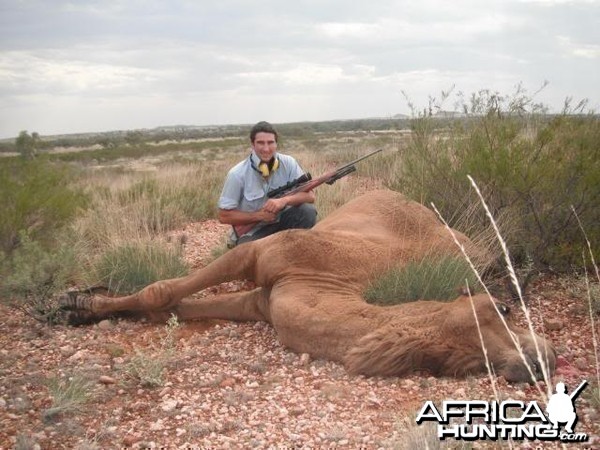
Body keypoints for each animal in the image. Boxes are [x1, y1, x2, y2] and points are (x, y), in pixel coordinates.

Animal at [63, 190, 556, 384]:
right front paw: (79, 303)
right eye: (503, 310)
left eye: (472, 367)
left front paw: (83, 304)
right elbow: (163, 293)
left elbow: (170, 306)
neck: (329, 282)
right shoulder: (258, 258)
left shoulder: (260, 301)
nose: (542, 360)